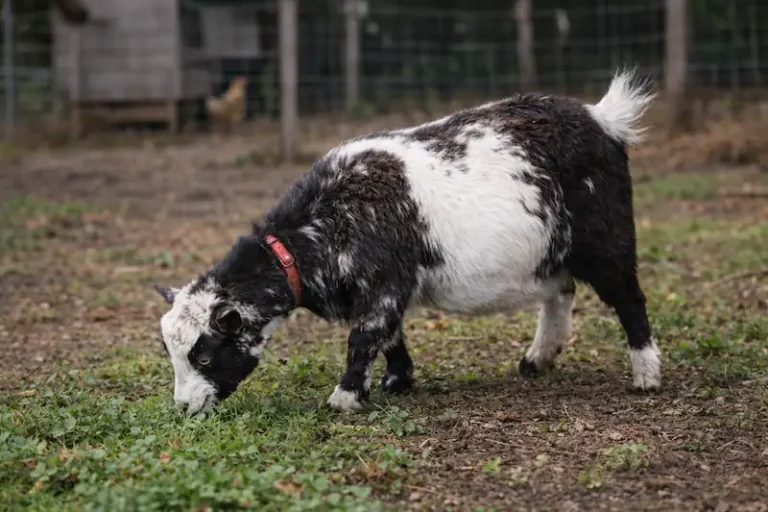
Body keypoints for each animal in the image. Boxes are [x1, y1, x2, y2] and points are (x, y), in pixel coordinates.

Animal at [155, 71, 658, 414]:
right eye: (171, 352)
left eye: (204, 352)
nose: (184, 408)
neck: (324, 223)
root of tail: (602, 119)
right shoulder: (382, 289)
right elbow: (390, 333)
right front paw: (397, 380)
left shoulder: (381, 283)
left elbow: (365, 336)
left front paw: (344, 398)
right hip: (550, 250)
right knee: (560, 292)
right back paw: (537, 359)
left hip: (607, 237)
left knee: (628, 297)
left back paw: (646, 375)